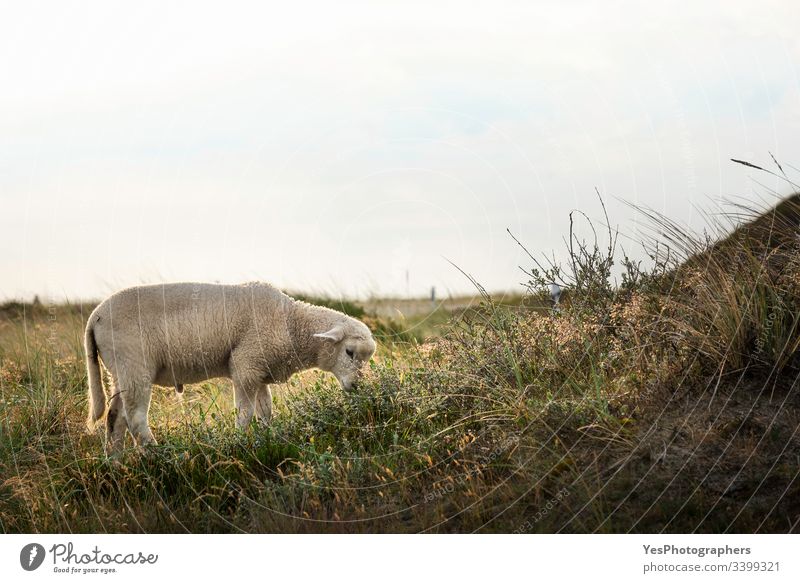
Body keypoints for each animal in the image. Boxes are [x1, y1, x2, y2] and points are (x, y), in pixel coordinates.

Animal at [84, 282, 378, 452]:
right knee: (135, 419)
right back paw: (157, 456)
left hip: (119, 373)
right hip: (134, 366)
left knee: (115, 418)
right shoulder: (246, 365)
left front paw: (266, 439)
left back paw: (116, 463)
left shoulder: (259, 370)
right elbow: (245, 414)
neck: (290, 322)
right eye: (349, 352)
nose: (357, 386)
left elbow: (265, 413)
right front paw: (240, 443)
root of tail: (95, 316)